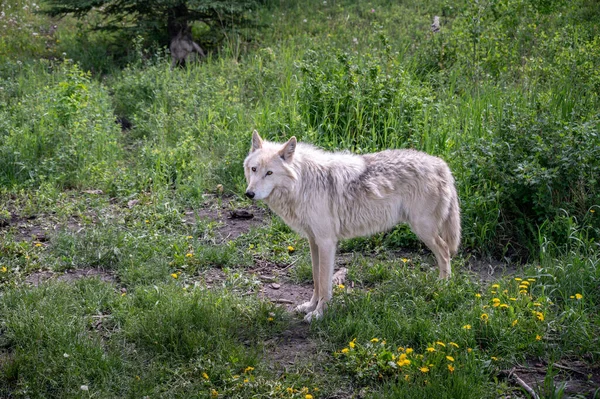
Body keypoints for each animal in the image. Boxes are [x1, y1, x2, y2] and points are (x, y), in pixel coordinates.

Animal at [243, 131, 460, 322]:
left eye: (269, 173)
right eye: (254, 169)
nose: (249, 194)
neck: (303, 184)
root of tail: (440, 163)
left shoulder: (327, 242)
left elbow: (324, 283)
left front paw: (319, 314)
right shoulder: (314, 241)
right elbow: (316, 279)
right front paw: (310, 306)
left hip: (423, 230)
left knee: (445, 252)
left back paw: (442, 286)